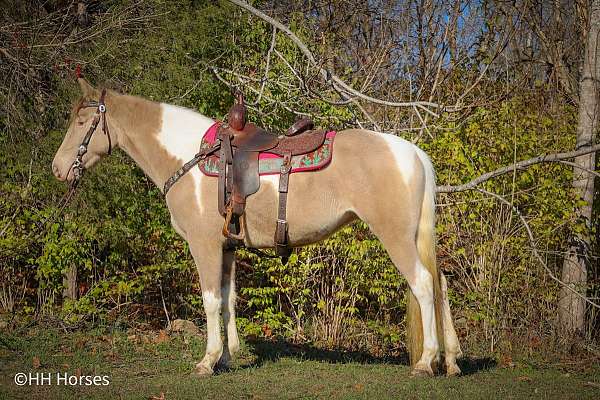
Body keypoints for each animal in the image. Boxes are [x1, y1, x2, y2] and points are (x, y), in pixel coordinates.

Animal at [52, 77, 464, 378]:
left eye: (83, 122)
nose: (57, 168)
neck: (188, 156)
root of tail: (414, 153)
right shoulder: (227, 247)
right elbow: (228, 299)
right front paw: (228, 357)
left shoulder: (204, 245)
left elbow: (210, 300)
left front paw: (208, 360)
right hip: (417, 238)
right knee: (440, 284)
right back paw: (452, 361)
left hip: (396, 237)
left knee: (423, 284)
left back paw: (426, 362)